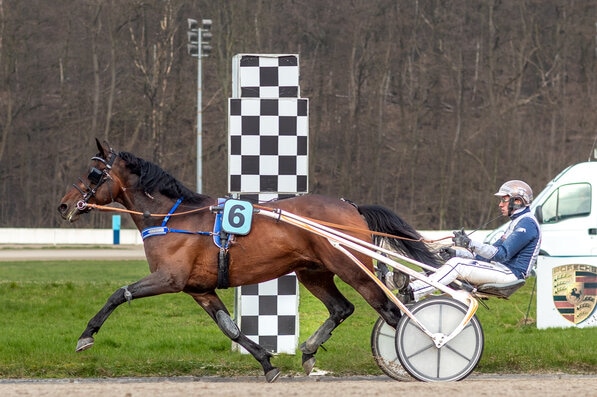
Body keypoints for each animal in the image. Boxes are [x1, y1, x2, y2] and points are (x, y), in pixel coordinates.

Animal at [57, 138, 442, 380]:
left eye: (93, 174)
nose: (63, 205)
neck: (173, 218)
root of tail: (352, 207)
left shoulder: (170, 278)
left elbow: (118, 294)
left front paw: (86, 336)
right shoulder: (199, 288)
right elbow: (230, 327)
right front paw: (267, 363)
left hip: (352, 268)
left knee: (392, 311)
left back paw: (423, 353)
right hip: (313, 272)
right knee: (341, 308)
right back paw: (308, 351)